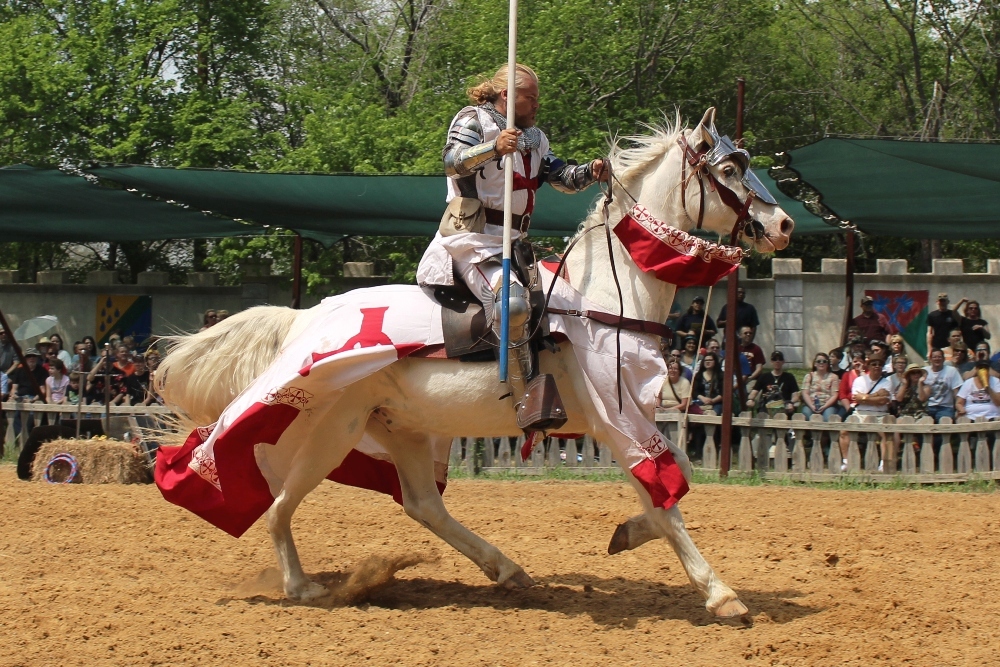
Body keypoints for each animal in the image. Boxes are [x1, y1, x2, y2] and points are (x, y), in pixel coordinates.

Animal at [160, 108, 792, 620]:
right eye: (729, 170)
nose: (783, 226)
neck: (604, 295)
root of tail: (305, 318)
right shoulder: (616, 417)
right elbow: (667, 502)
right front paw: (721, 595)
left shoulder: (626, 419)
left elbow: (669, 484)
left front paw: (628, 535)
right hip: (334, 425)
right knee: (278, 505)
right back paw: (302, 586)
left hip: (405, 429)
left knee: (422, 505)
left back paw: (507, 569)